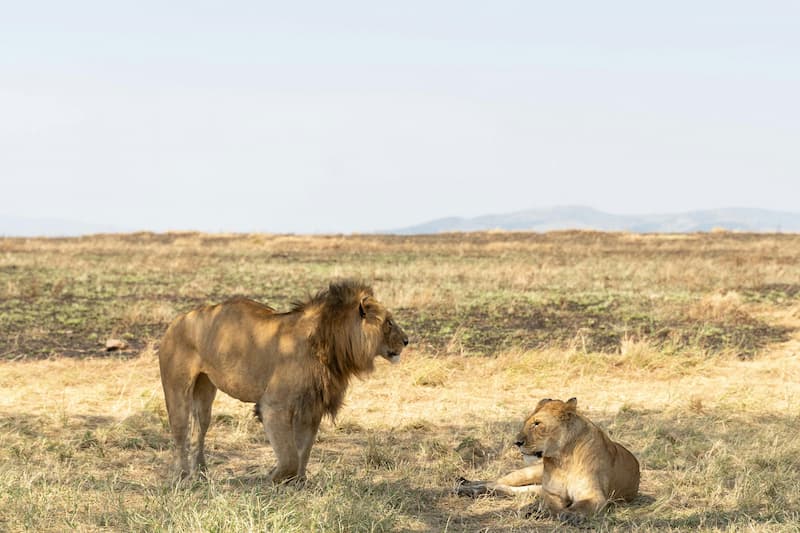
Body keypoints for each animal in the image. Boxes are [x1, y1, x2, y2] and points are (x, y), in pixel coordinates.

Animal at [158, 280, 408, 483]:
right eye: (389, 322)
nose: (407, 340)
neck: (332, 344)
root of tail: (177, 319)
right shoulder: (274, 406)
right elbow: (289, 456)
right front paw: (273, 478)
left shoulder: (312, 407)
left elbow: (303, 450)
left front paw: (299, 483)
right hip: (176, 388)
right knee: (179, 433)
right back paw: (181, 477)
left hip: (205, 390)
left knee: (199, 431)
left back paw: (200, 473)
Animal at [457, 397, 640, 524]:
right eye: (526, 423)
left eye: (537, 423)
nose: (516, 442)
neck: (563, 459)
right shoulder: (552, 493)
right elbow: (552, 505)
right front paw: (538, 511)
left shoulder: (594, 495)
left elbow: (580, 506)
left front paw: (569, 515)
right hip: (528, 473)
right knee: (496, 482)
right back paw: (466, 486)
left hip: (533, 487)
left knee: (509, 489)